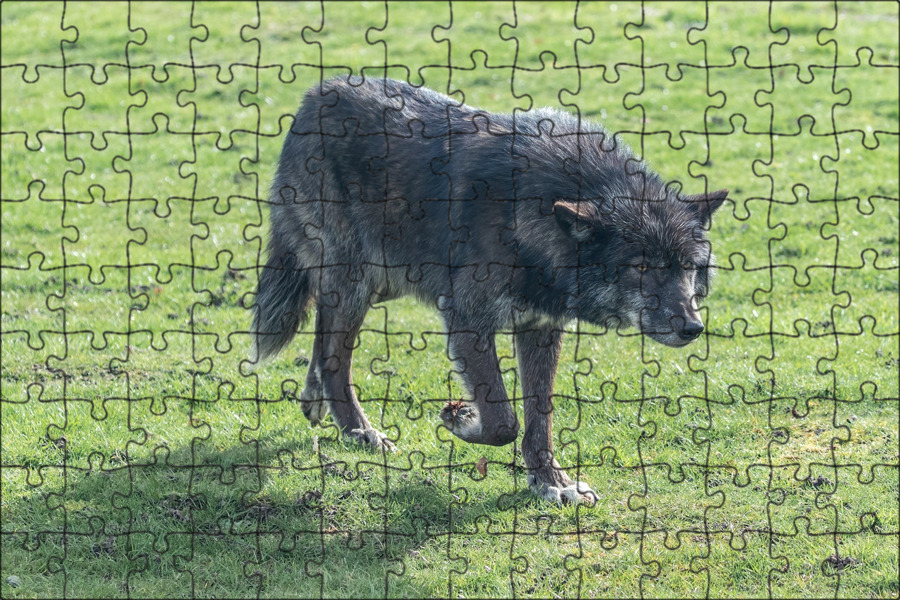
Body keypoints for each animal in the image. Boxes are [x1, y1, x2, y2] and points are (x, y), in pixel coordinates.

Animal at [250, 76, 728, 506]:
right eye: (642, 267)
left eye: (689, 267)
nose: (692, 328)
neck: (532, 220)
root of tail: (316, 94)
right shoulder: (467, 321)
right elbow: (503, 420)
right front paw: (460, 419)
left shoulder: (540, 327)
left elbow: (539, 416)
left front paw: (551, 482)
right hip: (358, 280)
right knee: (336, 355)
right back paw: (360, 431)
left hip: (379, 283)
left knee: (324, 330)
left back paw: (316, 402)